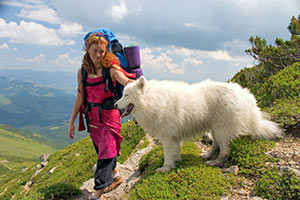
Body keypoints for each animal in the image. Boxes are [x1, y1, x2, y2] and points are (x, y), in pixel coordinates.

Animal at [115, 76, 284, 172]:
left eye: (126, 95)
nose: (115, 105)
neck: (153, 100)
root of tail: (245, 94)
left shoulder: (168, 137)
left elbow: (167, 155)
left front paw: (165, 168)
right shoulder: (172, 138)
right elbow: (174, 152)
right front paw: (175, 162)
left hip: (222, 128)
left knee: (224, 150)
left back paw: (215, 162)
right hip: (215, 128)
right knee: (216, 144)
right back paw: (207, 155)